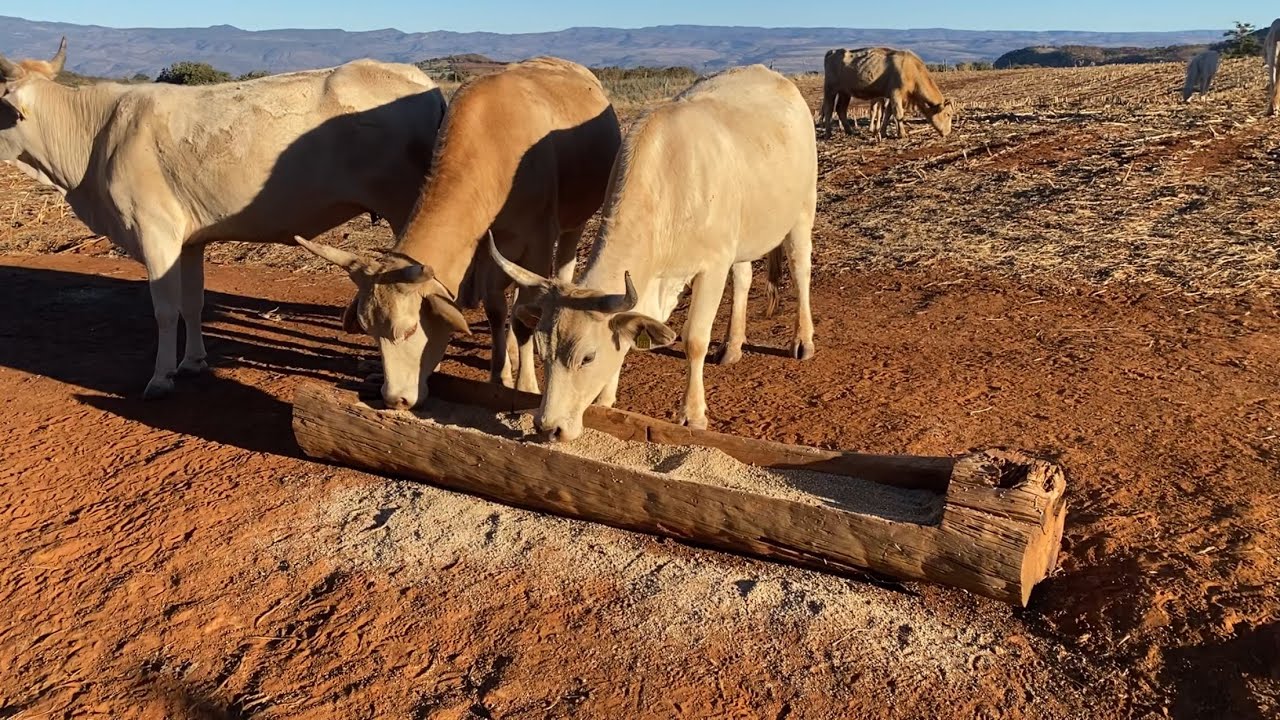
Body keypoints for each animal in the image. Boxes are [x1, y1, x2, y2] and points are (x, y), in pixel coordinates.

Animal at [0, 38, 447, 399]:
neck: (94, 133)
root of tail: (421, 82)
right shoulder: (188, 241)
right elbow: (191, 303)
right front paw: (192, 362)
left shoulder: (155, 234)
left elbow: (165, 309)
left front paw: (160, 378)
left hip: (405, 208)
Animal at [295, 57, 622, 409]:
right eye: (370, 331)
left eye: (409, 330)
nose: (395, 399)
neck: (495, 146)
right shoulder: (484, 247)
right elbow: (496, 310)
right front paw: (499, 377)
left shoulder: (537, 240)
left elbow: (522, 316)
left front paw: (525, 385)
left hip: (573, 221)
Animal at [487, 64, 817, 442]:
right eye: (543, 352)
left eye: (588, 357)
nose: (548, 427)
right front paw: (605, 400)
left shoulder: (712, 266)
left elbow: (694, 339)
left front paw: (693, 414)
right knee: (744, 277)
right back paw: (732, 345)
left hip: (803, 210)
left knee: (800, 269)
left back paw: (803, 340)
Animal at [819, 47, 954, 139]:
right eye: (947, 114)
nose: (948, 132)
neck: (912, 70)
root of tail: (832, 52)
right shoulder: (896, 94)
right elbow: (898, 114)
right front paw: (902, 134)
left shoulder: (893, 97)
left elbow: (888, 114)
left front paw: (883, 132)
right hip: (830, 90)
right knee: (828, 109)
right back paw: (828, 133)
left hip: (845, 93)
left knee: (841, 109)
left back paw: (850, 131)